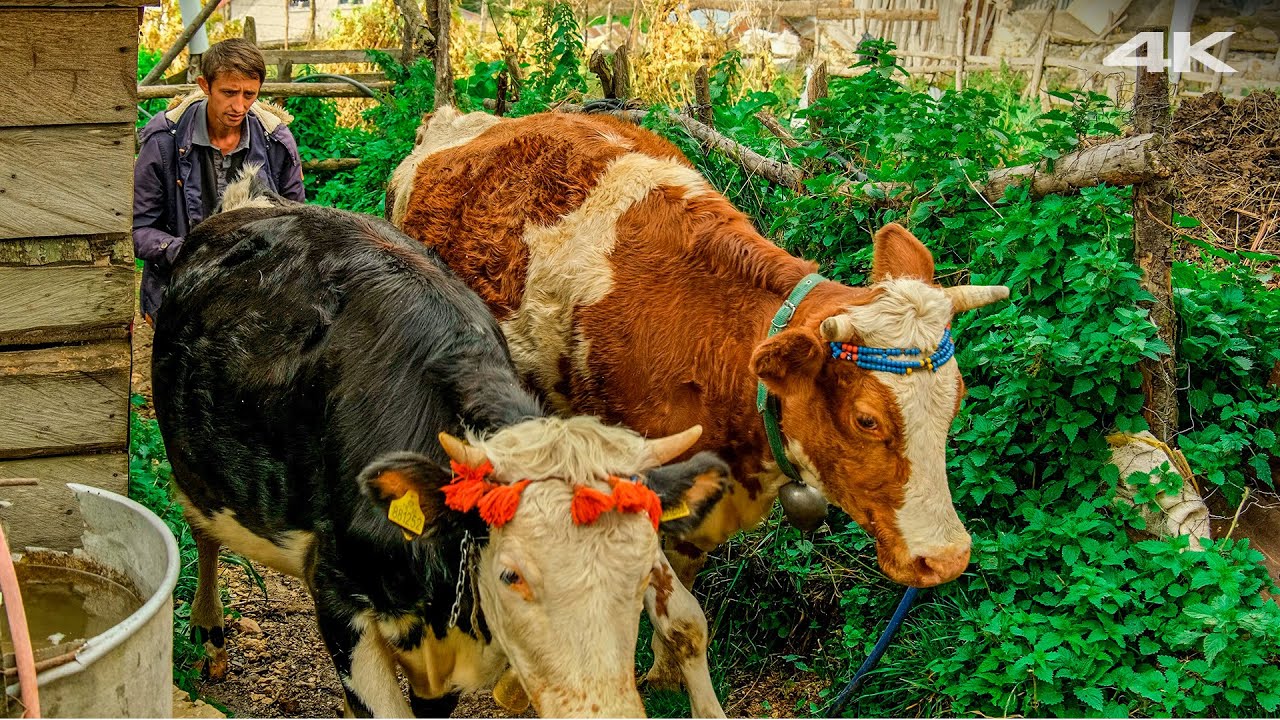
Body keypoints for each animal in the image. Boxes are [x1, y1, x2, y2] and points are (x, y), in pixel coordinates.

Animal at [151, 168, 731, 717]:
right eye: (511, 575)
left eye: (643, 576)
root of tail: (251, 200)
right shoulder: (338, 599)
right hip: (191, 465)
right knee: (200, 528)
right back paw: (209, 633)